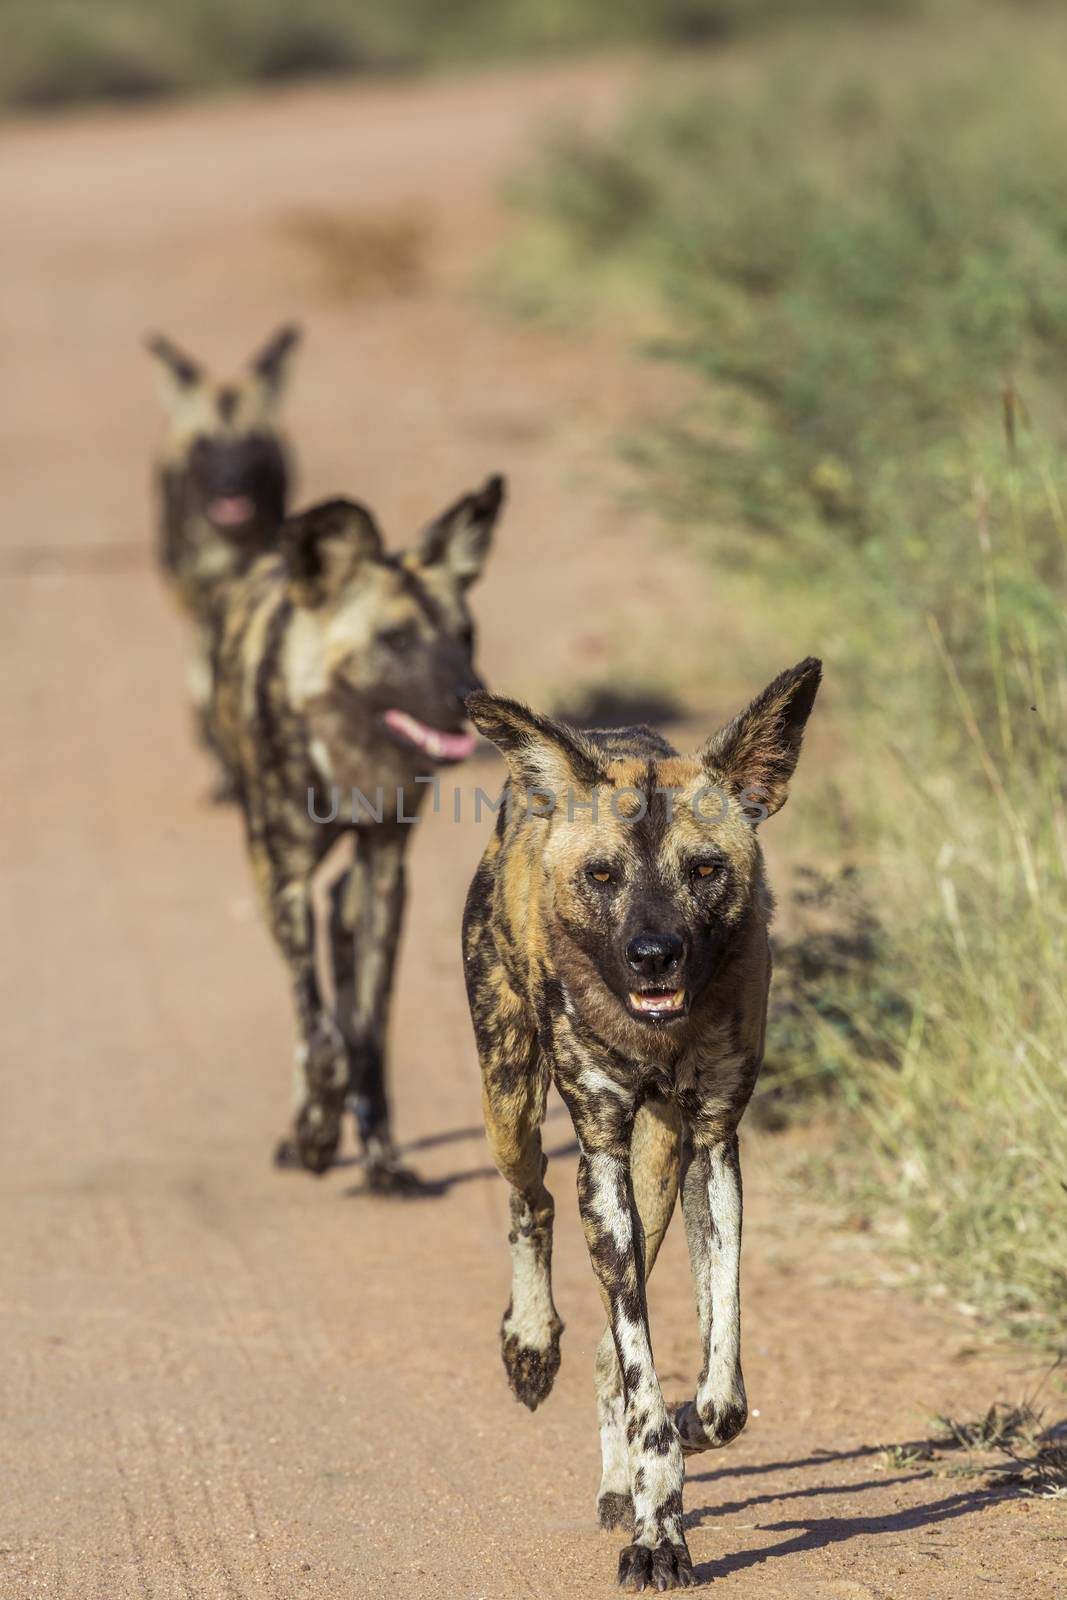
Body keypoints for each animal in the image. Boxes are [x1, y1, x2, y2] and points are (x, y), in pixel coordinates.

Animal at [214, 473, 508, 1190]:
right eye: (396, 640)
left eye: (465, 635)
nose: (470, 701)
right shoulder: (284, 878)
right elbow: (320, 1034)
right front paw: (319, 1134)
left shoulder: (383, 871)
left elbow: (368, 1033)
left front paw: (381, 1157)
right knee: (311, 1015)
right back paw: (303, 1131)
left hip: (350, 889)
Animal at [463, 659, 825, 1587]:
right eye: (600, 876)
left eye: (703, 870)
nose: (653, 955)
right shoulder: (598, 1151)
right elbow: (642, 1374)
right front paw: (658, 1528)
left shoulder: (713, 1147)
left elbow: (720, 1384)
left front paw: (682, 1444)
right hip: (513, 1099)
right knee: (530, 1201)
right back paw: (529, 1345)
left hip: (656, 1172)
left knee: (604, 1353)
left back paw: (617, 1479)